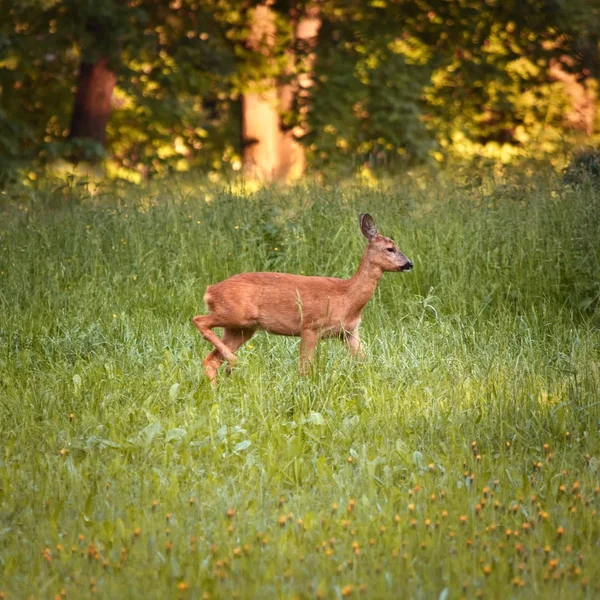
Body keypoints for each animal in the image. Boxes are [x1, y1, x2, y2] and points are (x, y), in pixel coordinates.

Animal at [192, 216, 412, 384]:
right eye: (390, 248)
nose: (409, 264)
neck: (347, 297)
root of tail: (210, 291)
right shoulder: (310, 326)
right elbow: (304, 368)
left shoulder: (349, 332)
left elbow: (365, 362)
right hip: (237, 315)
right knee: (199, 320)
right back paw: (233, 361)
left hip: (241, 329)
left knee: (210, 360)